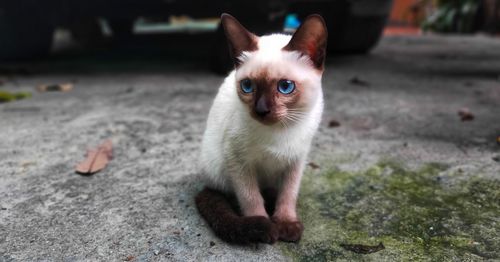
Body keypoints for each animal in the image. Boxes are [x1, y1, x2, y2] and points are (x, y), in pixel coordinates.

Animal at [195, 13, 328, 244]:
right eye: (247, 86)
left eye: (285, 87)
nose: (261, 110)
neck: (280, 132)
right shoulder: (238, 161)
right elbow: (250, 197)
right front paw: (264, 225)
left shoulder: (296, 160)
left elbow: (289, 193)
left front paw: (286, 223)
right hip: (219, 171)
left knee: (273, 190)